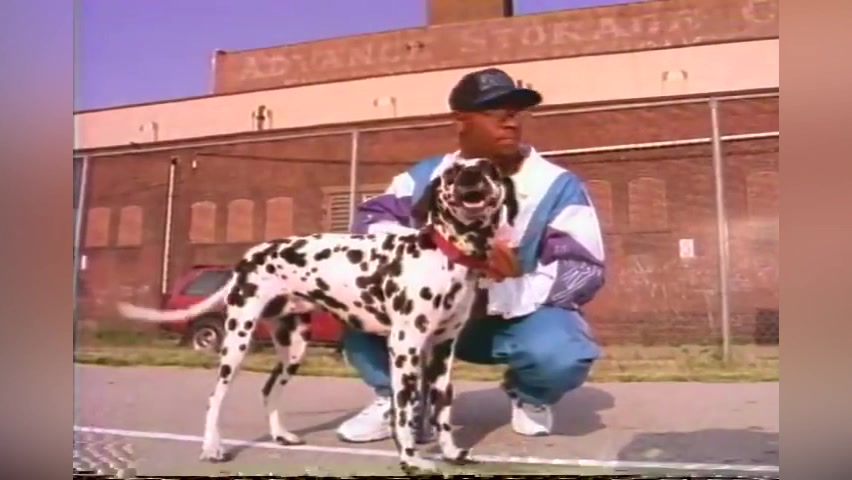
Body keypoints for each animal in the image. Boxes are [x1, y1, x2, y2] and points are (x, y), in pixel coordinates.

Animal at [117, 157, 519, 474]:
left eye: (488, 168)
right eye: (452, 171)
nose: (471, 176)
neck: (444, 253)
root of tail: (248, 257)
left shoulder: (441, 353)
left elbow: (442, 412)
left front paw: (450, 452)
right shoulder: (405, 348)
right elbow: (406, 412)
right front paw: (410, 458)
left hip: (293, 349)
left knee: (269, 389)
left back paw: (280, 435)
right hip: (237, 341)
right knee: (216, 396)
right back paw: (212, 448)